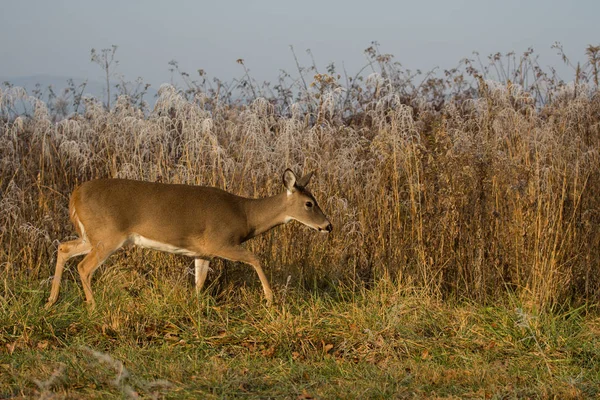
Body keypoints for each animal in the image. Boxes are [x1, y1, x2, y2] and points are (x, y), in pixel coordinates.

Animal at [44, 169, 330, 310]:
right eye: (309, 203)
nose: (328, 226)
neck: (245, 215)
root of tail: (75, 195)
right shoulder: (220, 241)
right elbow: (255, 258)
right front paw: (270, 300)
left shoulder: (202, 252)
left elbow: (199, 282)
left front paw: (195, 308)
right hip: (108, 235)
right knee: (84, 267)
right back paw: (93, 307)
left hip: (92, 236)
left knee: (64, 247)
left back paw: (50, 301)